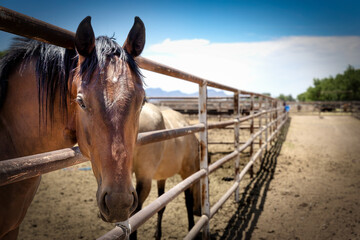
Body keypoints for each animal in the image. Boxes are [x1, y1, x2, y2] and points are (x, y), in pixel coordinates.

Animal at [131, 103, 201, 240]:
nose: (199, 212)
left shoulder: (161, 178)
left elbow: (161, 205)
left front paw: (158, 233)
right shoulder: (187, 173)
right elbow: (188, 201)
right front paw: (191, 227)